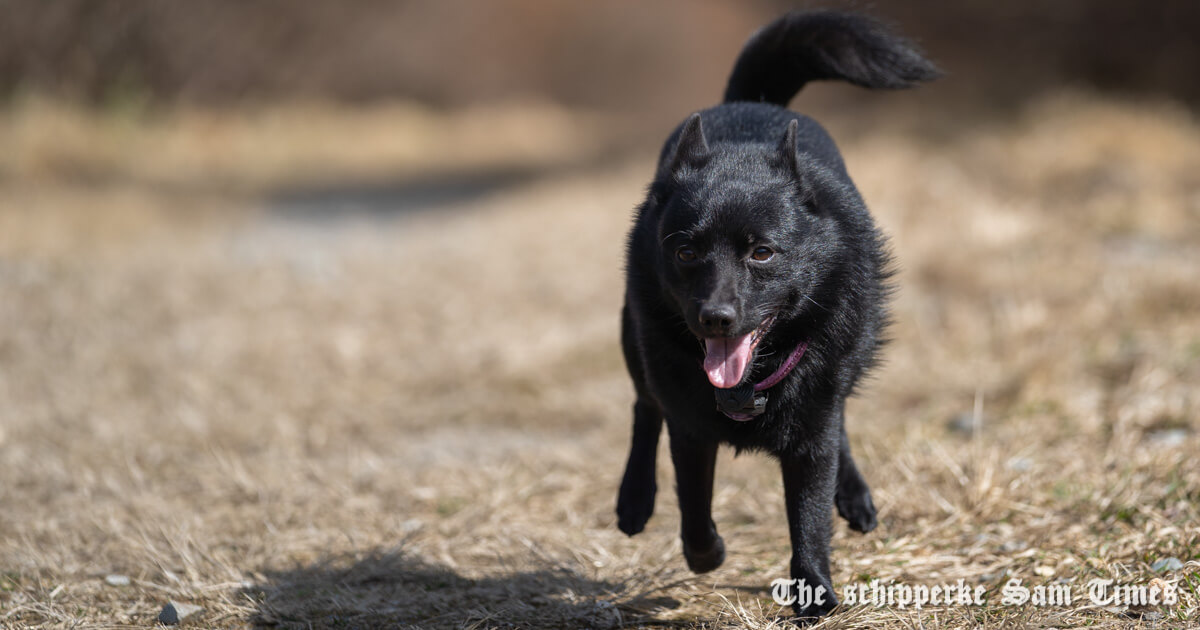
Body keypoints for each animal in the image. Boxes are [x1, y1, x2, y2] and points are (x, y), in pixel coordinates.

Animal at [619, 12, 936, 619]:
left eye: (762, 252)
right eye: (686, 251)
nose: (716, 318)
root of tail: (752, 102)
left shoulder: (813, 429)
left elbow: (808, 513)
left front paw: (814, 591)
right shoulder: (690, 430)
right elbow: (694, 507)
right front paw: (708, 554)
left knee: (841, 422)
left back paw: (853, 493)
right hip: (633, 335)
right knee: (645, 407)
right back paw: (633, 499)